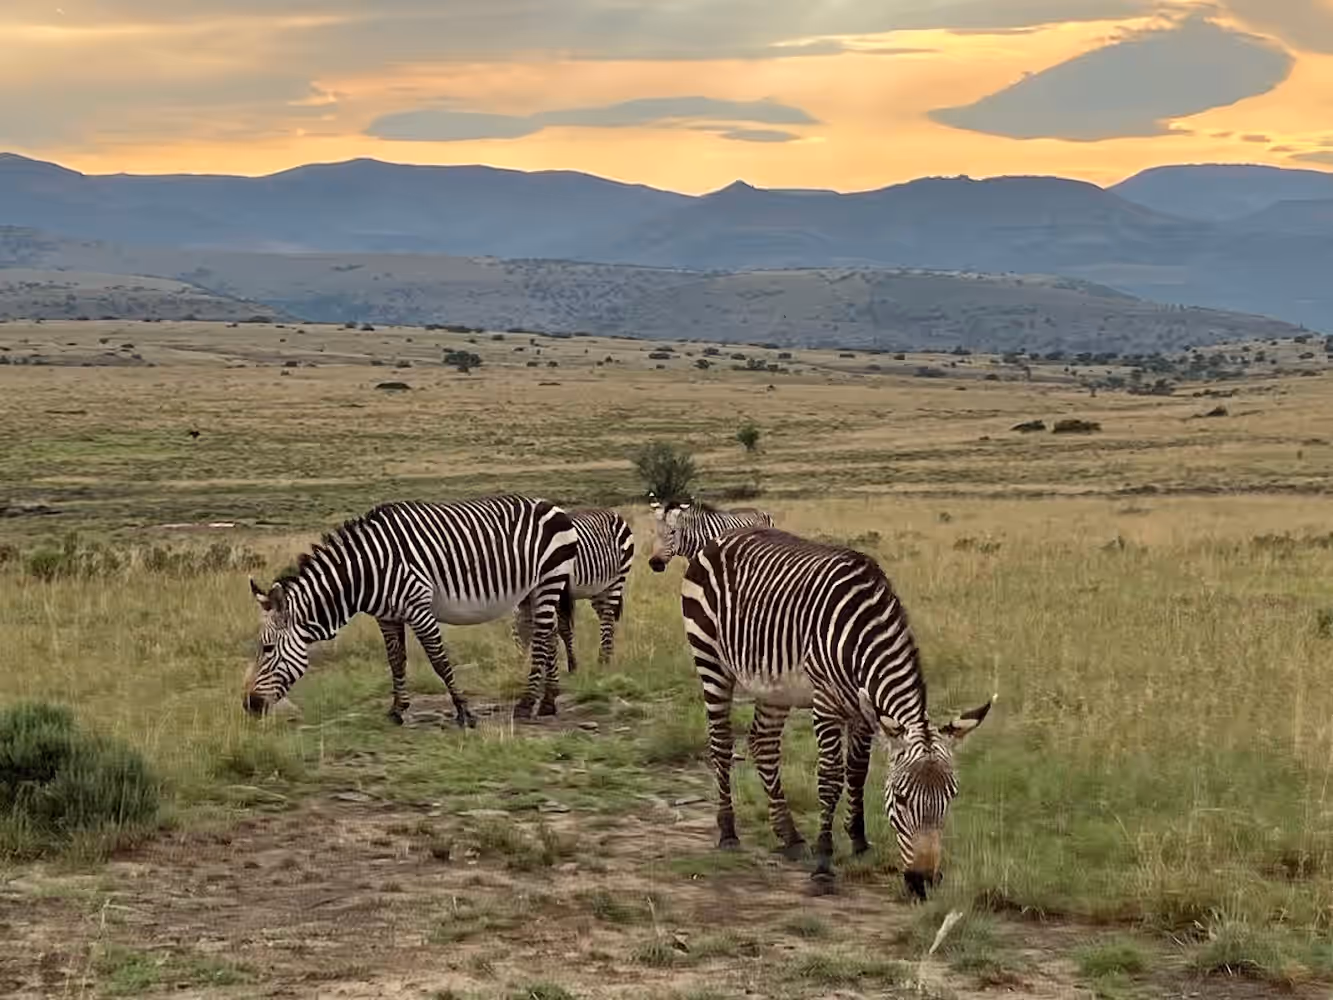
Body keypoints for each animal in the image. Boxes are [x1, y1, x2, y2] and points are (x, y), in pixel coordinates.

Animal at [244, 495, 578, 725]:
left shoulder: (419, 609)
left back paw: (526, 704)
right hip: (533, 591)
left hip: (549, 580)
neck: (367, 572)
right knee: (548, 637)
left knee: (542, 640)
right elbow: (396, 661)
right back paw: (548, 702)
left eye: (267, 648)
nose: (249, 705)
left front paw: (464, 711)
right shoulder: (387, 616)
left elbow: (439, 661)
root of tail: (553, 506)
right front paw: (396, 709)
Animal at [512, 506, 635, 673]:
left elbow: (563, 629)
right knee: (606, 617)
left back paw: (603, 661)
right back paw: (608, 655)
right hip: (598, 590)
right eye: (515, 636)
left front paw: (572, 666)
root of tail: (614, 513)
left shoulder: (560, 593)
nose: (518, 670)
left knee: (608, 618)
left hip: (617, 580)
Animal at [680, 525, 993, 899]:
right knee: (721, 743)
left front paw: (859, 843)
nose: (922, 883)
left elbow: (857, 773)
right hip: (711, 660)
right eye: (901, 799)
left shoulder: (864, 711)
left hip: (774, 684)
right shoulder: (827, 704)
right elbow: (830, 780)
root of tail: (724, 536)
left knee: (764, 744)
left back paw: (790, 836)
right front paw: (824, 864)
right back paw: (728, 832)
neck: (863, 634)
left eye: (950, 798)